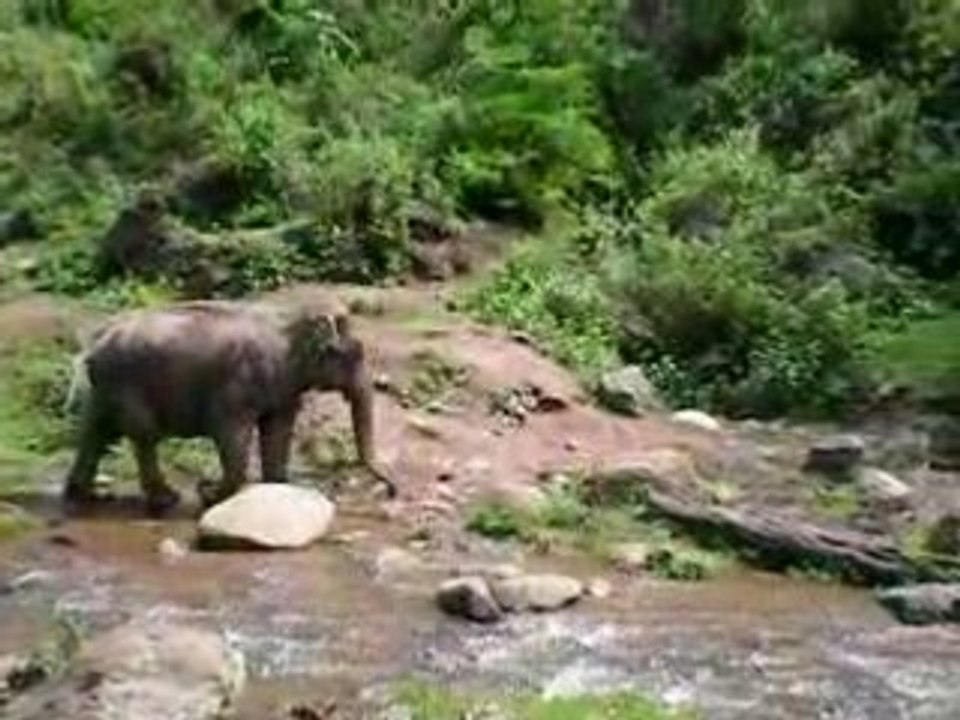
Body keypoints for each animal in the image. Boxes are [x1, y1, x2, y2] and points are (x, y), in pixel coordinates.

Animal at [62, 289, 393, 516]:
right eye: (352, 355)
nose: (392, 491)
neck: (292, 322)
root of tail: (96, 344)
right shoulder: (236, 386)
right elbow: (232, 435)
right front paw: (209, 497)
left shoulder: (282, 386)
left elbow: (278, 430)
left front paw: (275, 486)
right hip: (127, 382)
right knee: (142, 435)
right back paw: (166, 501)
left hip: (106, 387)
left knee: (95, 431)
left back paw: (83, 495)